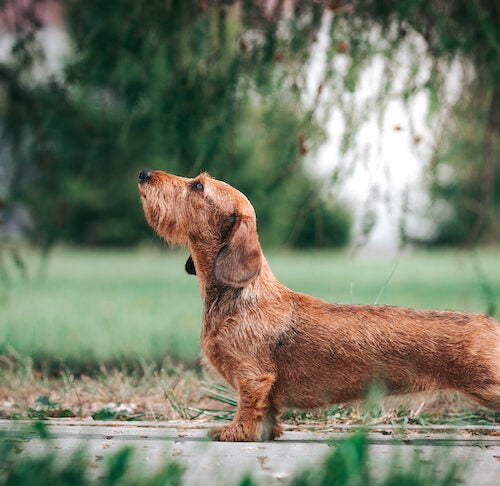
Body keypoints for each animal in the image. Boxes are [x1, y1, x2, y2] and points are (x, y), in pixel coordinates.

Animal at [139, 170, 500, 440]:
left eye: (198, 185)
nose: (144, 174)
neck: (241, 294)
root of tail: (492, 325)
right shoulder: (265, 388)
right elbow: (267, 414)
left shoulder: (252, 377)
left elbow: (248, 408)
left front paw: (233, 432)